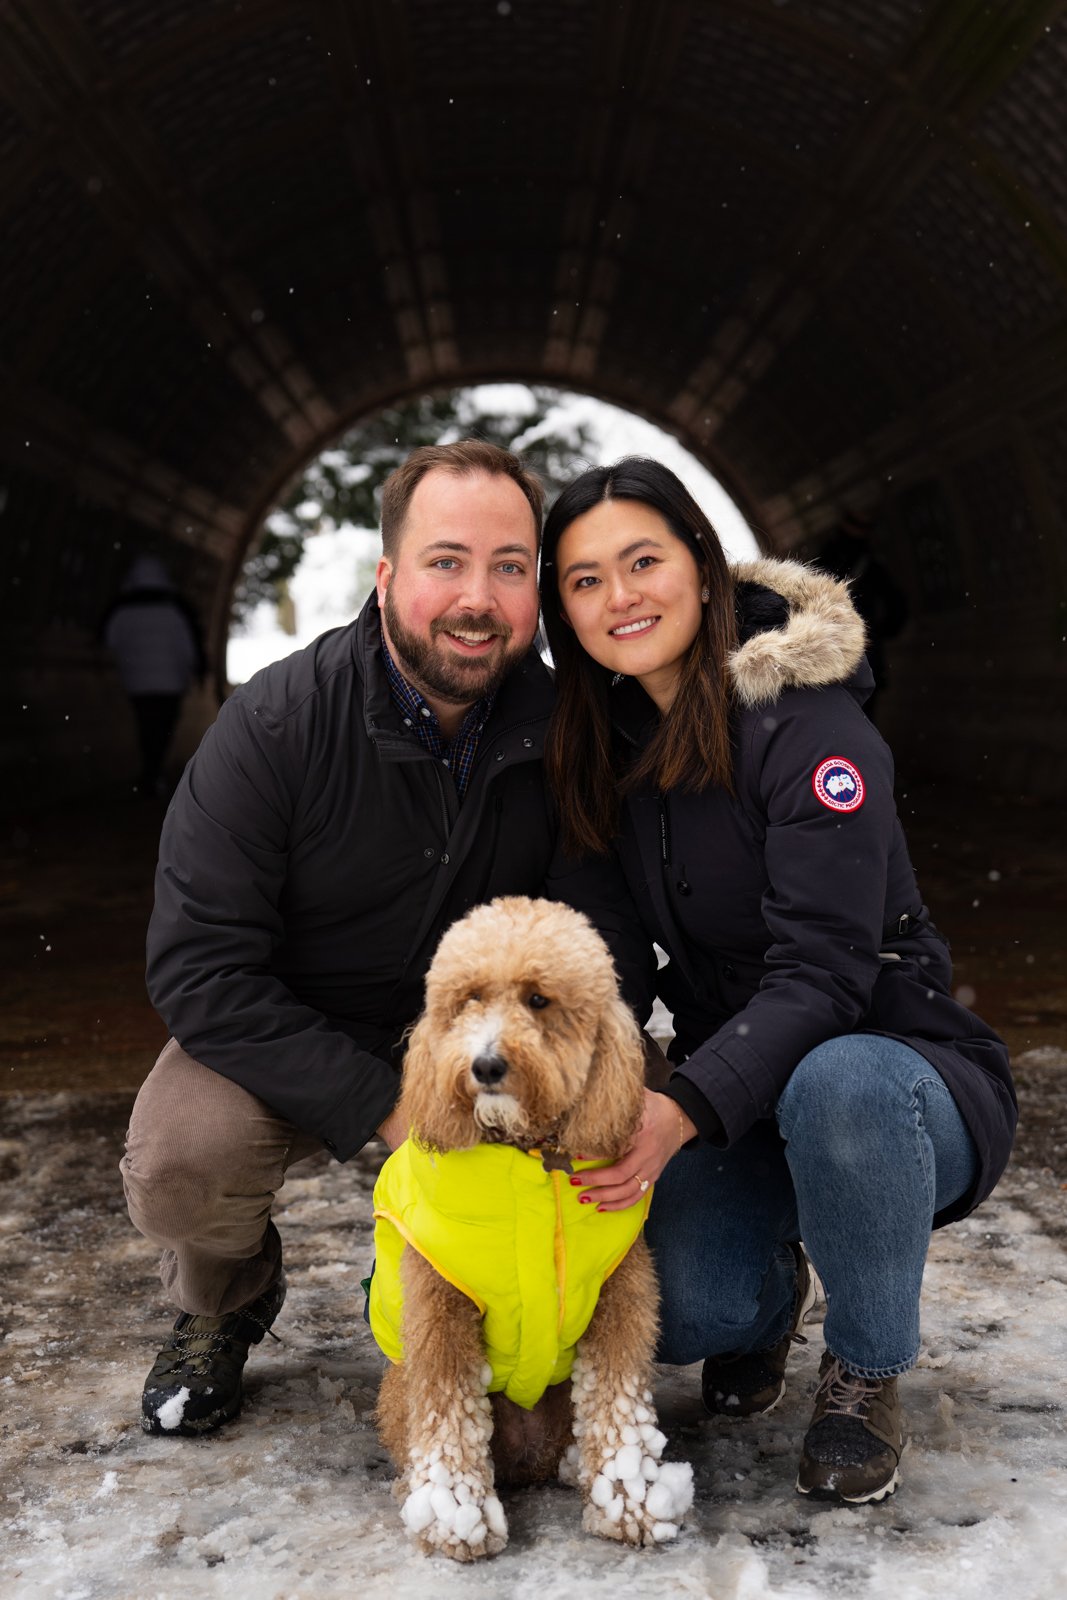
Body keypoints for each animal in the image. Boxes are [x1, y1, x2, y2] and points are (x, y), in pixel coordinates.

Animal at [371, 902, 697, 1561]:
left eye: (539, 999)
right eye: (469, 998)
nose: (486, 1064)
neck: (528, 1158)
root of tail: (527, 1459)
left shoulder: (621, 1297)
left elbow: (618, 1403)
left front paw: (630, 1501)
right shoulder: (440, 1312)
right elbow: (448, 1413)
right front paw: (455, 1517)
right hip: (397, 1387)